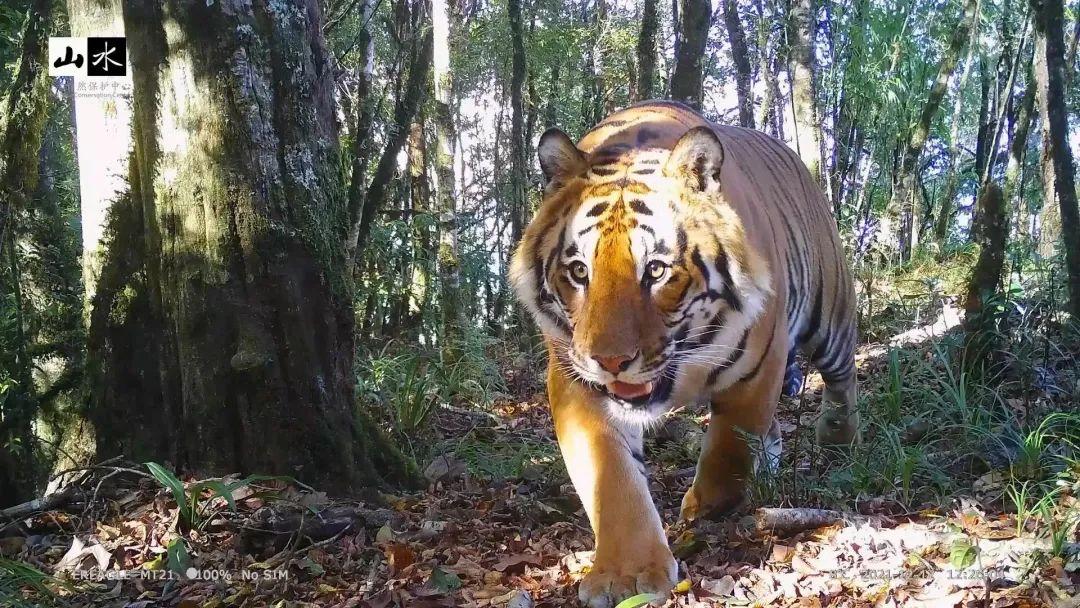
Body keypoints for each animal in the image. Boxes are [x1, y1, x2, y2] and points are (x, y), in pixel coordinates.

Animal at [509, 100, 860, 608]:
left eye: (656, 271)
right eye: (578, 271)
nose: (610, 361)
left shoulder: (761, 362)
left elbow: (731, 446)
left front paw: (706, 506)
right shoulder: (574, 377)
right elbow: (611, 477)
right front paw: (626, 574)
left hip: (829, 311)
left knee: (843, 375)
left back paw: (838, 436)